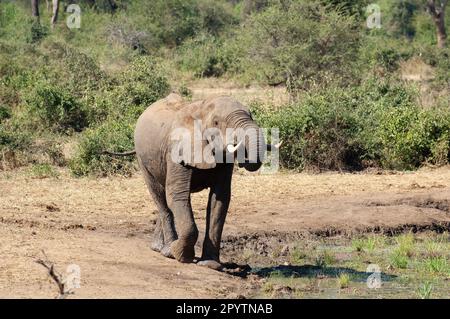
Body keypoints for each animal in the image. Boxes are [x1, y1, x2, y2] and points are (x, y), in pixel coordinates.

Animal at [107, 93, 280, 270]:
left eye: (251, 116)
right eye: (216, 122)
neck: (200, 109)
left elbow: (219, 200)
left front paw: (210, 264)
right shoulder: (176, 149)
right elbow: (177, 194)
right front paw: (179, 254)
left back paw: (158, 247)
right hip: (143, 160)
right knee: (161, 198)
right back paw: (166, 250)